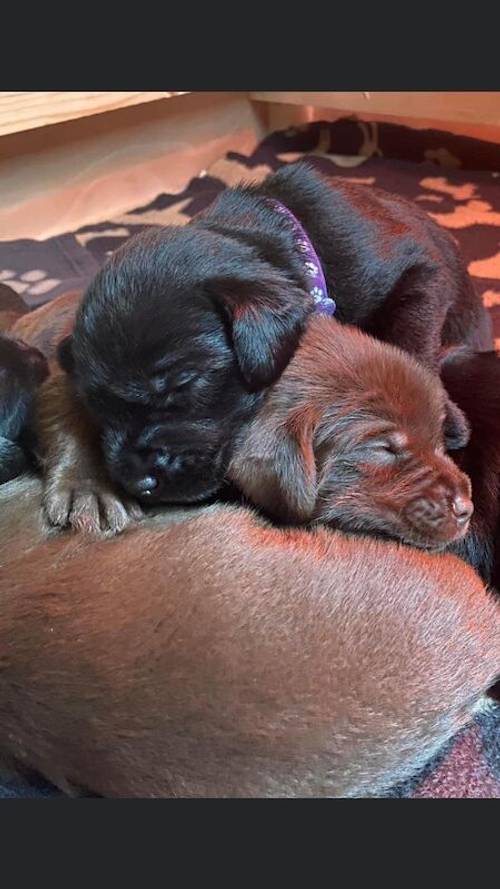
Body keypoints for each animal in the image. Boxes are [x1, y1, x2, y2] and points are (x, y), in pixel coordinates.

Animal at [56, 163, 490, 512]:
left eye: (183, 384)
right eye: (95, 407)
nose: (137, 484)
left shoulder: (420, 274)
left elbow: (410, 344)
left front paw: (446, 420)